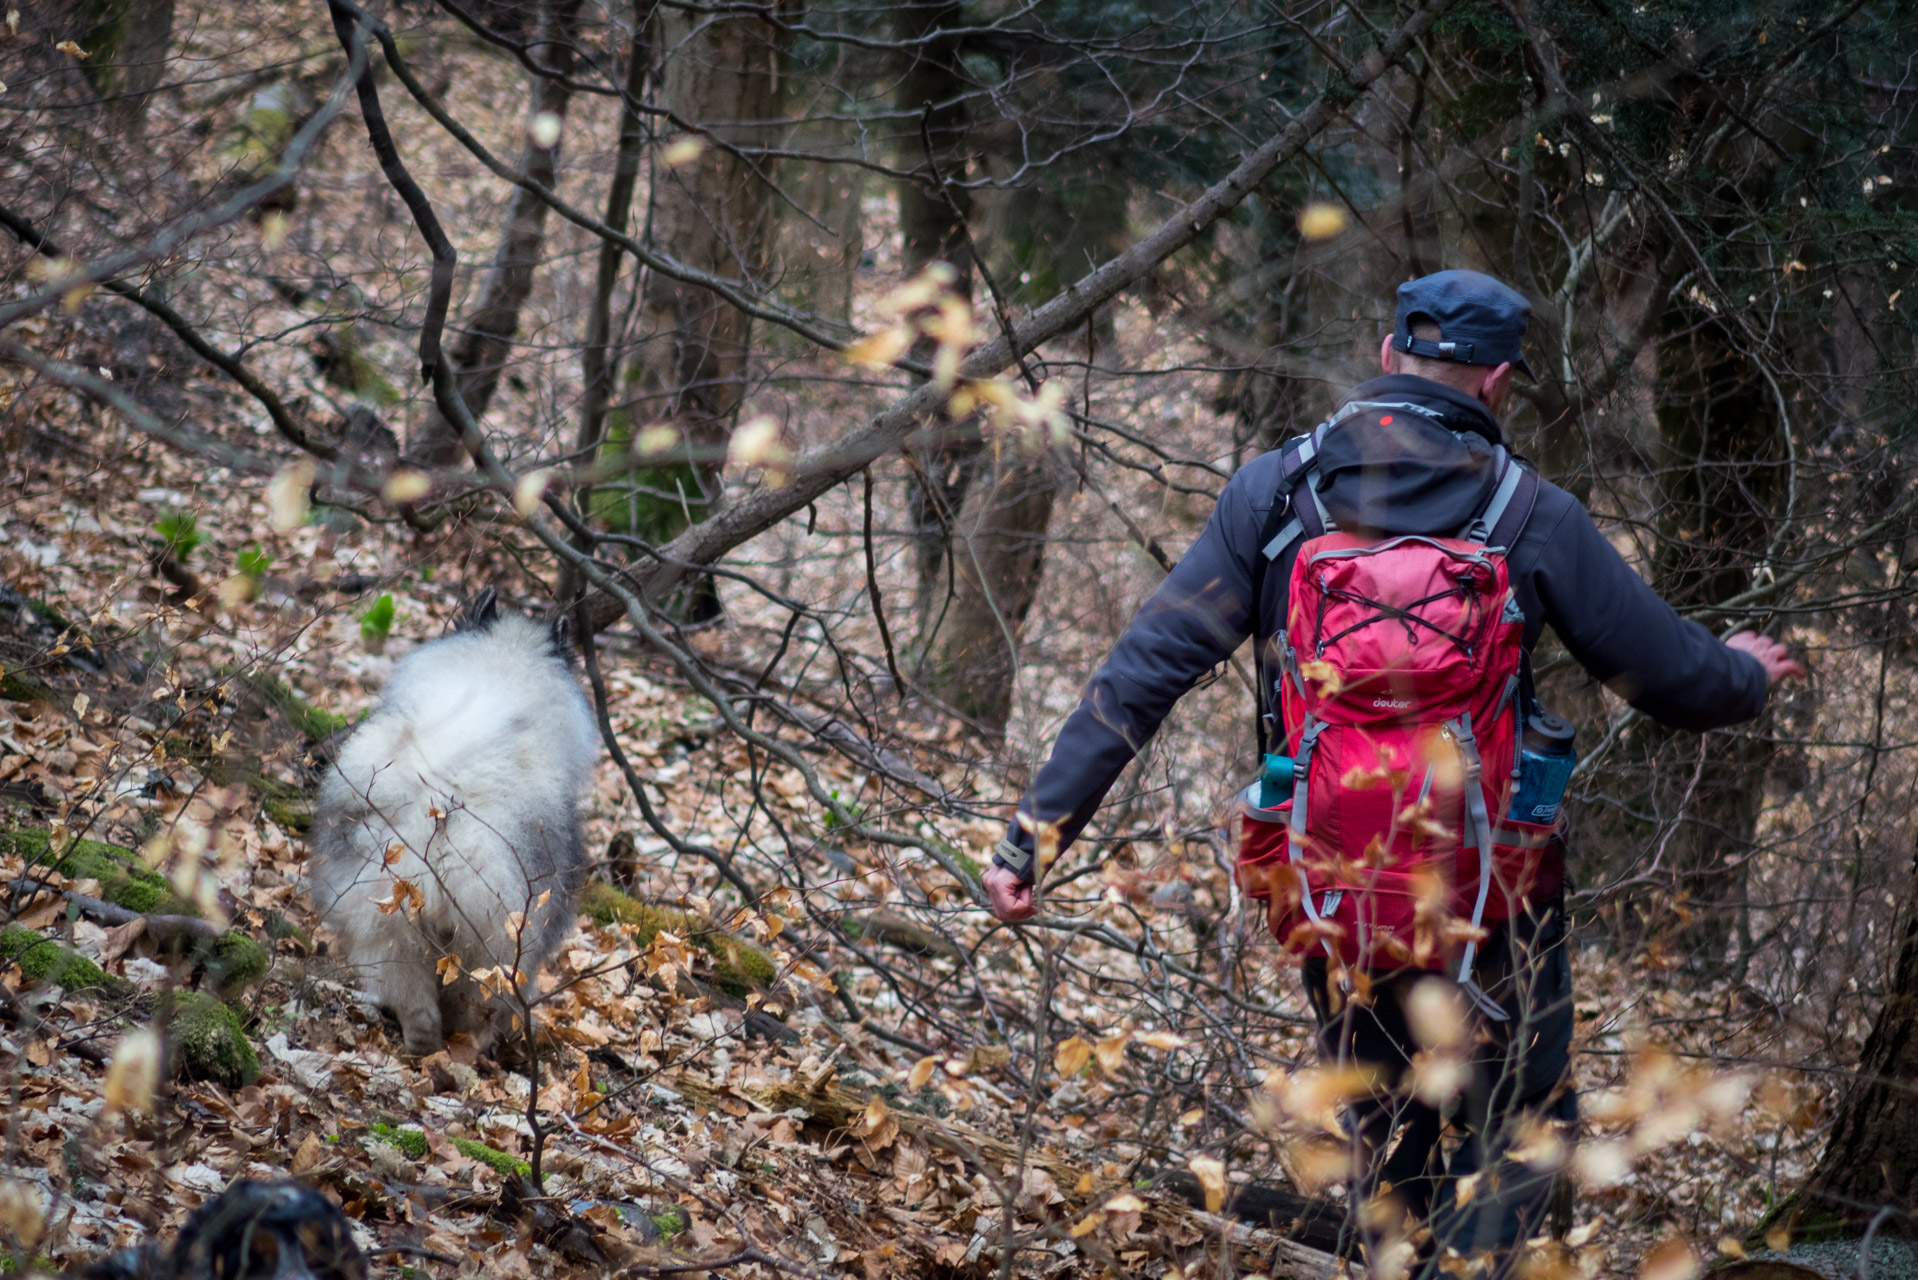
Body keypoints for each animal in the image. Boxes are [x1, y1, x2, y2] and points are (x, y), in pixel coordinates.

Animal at [310, 591, 594, 1051]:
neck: (504, 665)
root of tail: (439, 816)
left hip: (385, 924)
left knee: (411, 998)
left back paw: (422, 1046)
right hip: (493, 953)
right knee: (476, 1009)